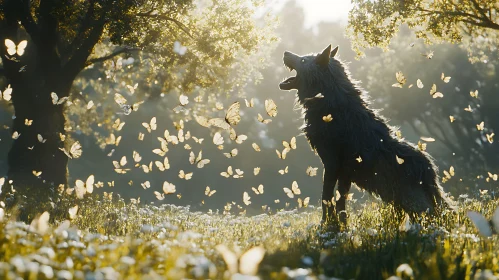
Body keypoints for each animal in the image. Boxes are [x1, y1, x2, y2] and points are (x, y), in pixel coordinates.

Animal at [280, 44, 456, 223]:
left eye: (303, 60)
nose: (285, 52)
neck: (330, 103)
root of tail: (429, 170)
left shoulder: (331, 163)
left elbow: (326, 197)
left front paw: (326, 224)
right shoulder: (345, 170)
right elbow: (340, 200)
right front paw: (341, 224)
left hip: (412, 200)